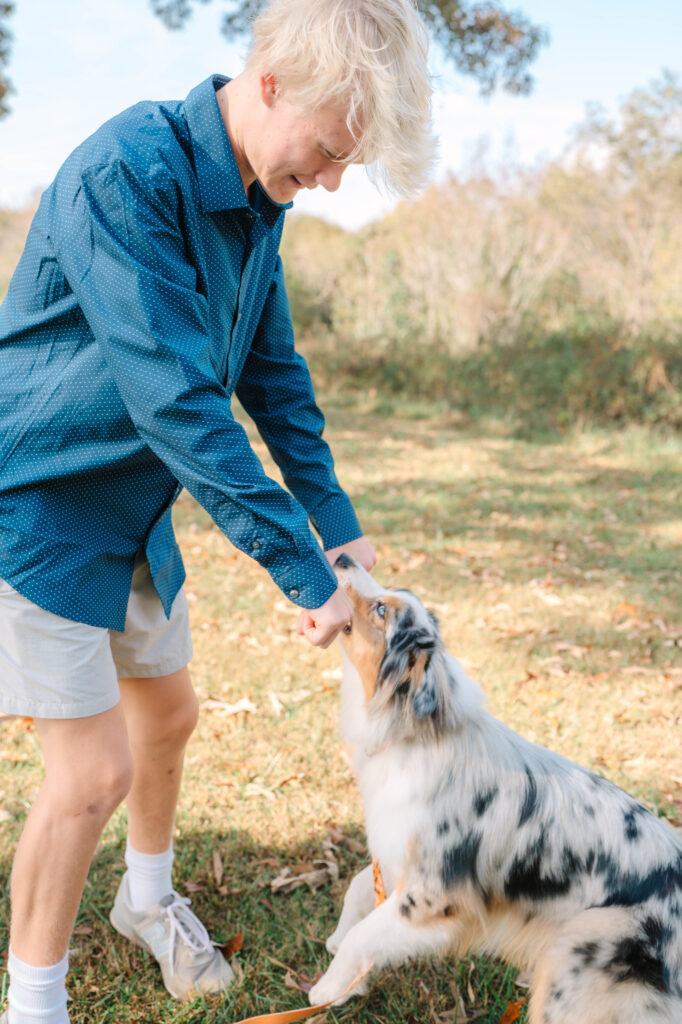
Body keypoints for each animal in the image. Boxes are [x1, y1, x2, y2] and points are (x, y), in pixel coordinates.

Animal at [309, 557, 679, 1019]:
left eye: (381, 610)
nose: (343, 559)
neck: (416, 733)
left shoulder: (433, 896)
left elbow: (367, 935)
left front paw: (328, 990)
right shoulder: (399, 853)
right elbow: (360, 886)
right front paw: (340, 946)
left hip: (577, 957)